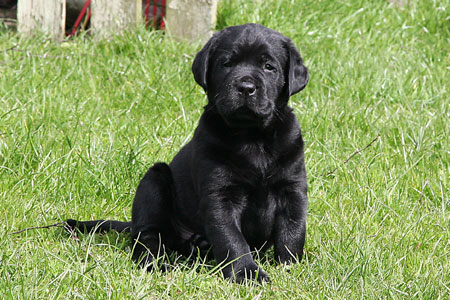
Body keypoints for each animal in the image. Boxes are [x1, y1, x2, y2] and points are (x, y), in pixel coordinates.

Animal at [67, 23, 310, 284]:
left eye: (269, 67)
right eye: (227, 64)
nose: (246, 88)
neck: (251, 137)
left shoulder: (292, 189)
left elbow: (293, 231)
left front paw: (290, 267)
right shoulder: (220, 196)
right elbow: (232, 239)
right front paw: (246, 273)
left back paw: (198, 245)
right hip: (154, 181)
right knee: (147, 237)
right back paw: (157, 262)